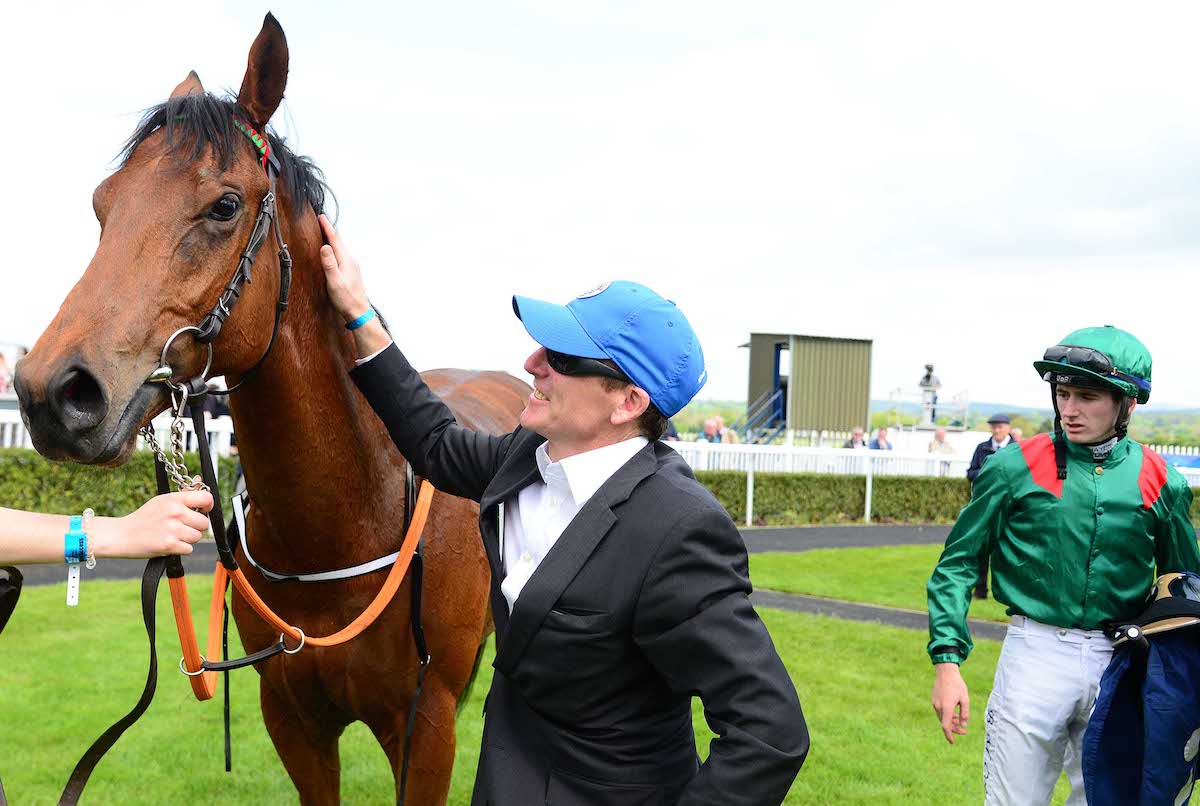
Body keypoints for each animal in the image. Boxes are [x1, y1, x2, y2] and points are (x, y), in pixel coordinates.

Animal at [9, 14, 525, 806]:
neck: (345, 526)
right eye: (103, 204)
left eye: (224, 205)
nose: (49, 390)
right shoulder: (291, 719)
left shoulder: (426, 729)